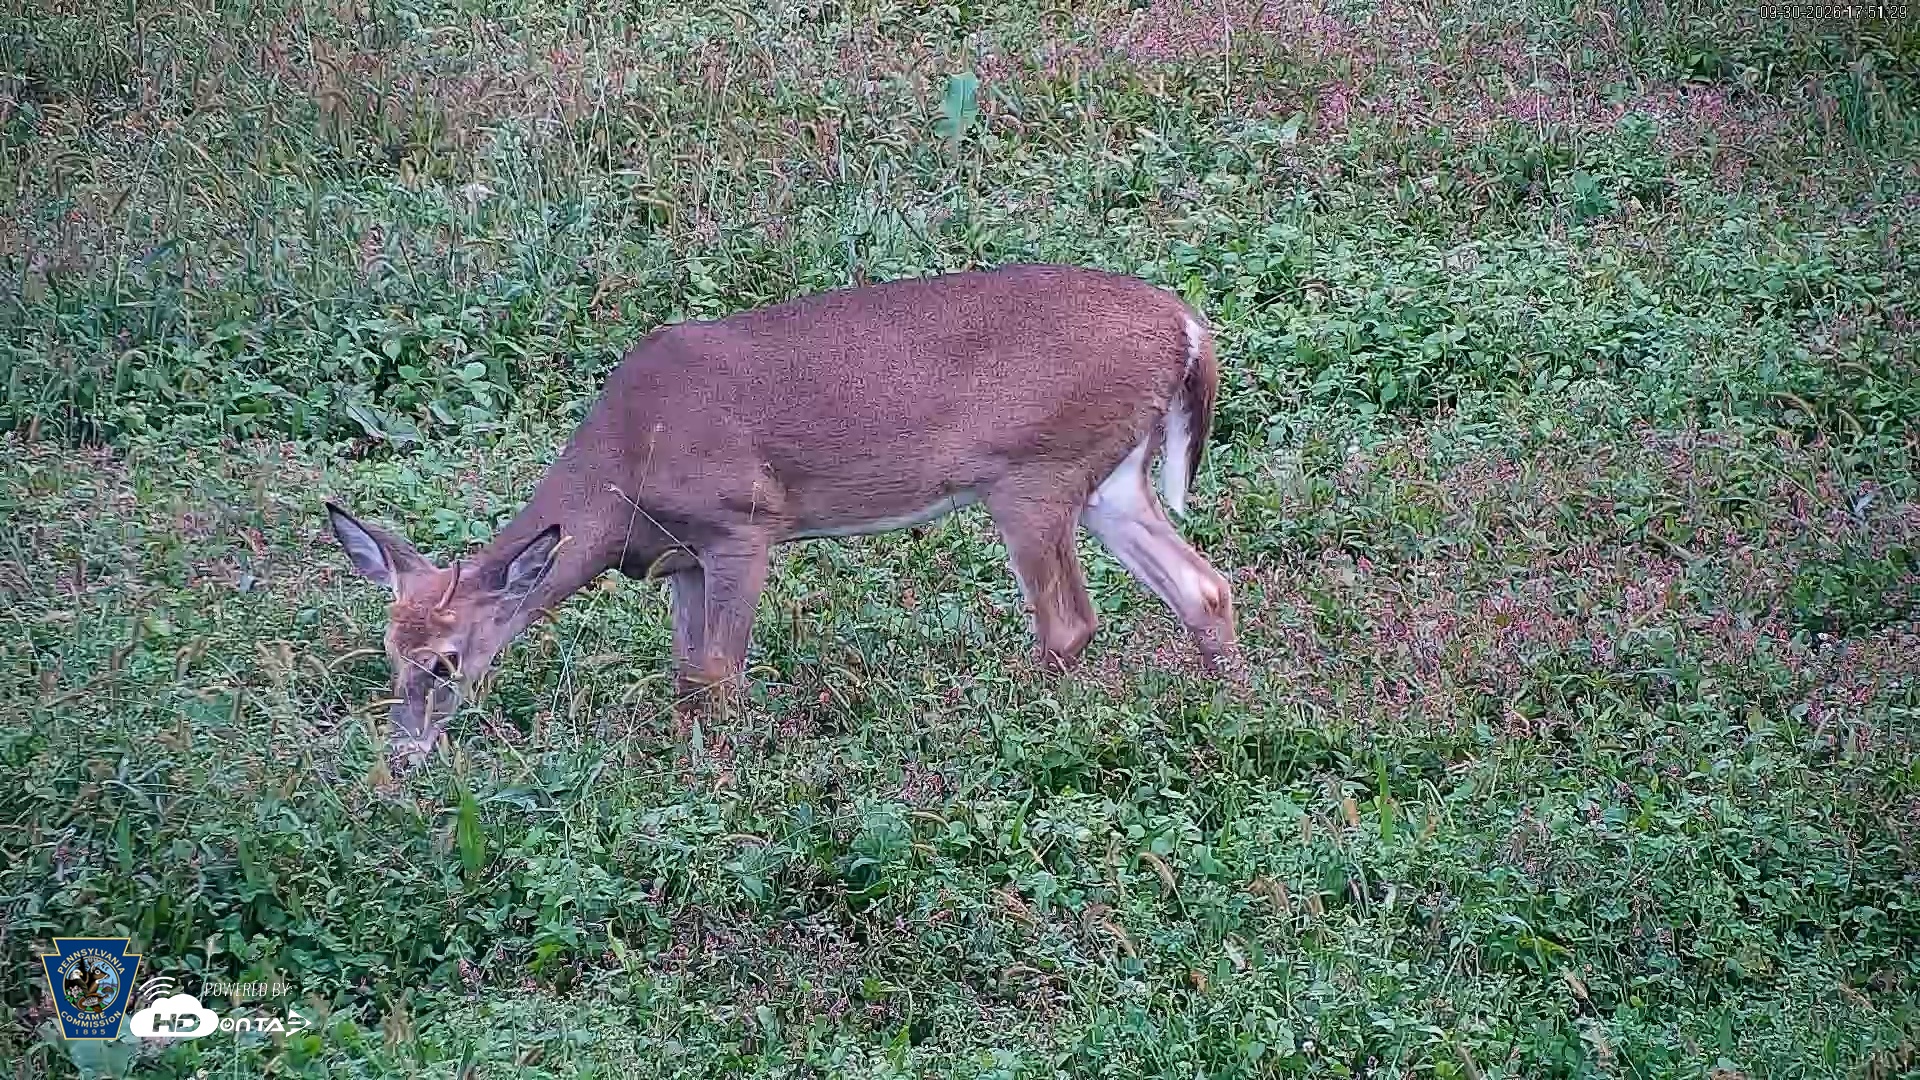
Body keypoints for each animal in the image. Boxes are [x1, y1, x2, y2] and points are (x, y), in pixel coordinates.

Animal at [323, 263, 1240, 765]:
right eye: (387, 652)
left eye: (445, 662)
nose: (404, 754)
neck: (624, 465)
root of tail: (1188, 327)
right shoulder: (682, 559)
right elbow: (687, 676)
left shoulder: (741, 524)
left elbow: (720, 677)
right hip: (1110, 476)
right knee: (1204, 586)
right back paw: (1227, 710)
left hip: (1034, 473)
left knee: (1070, 622)